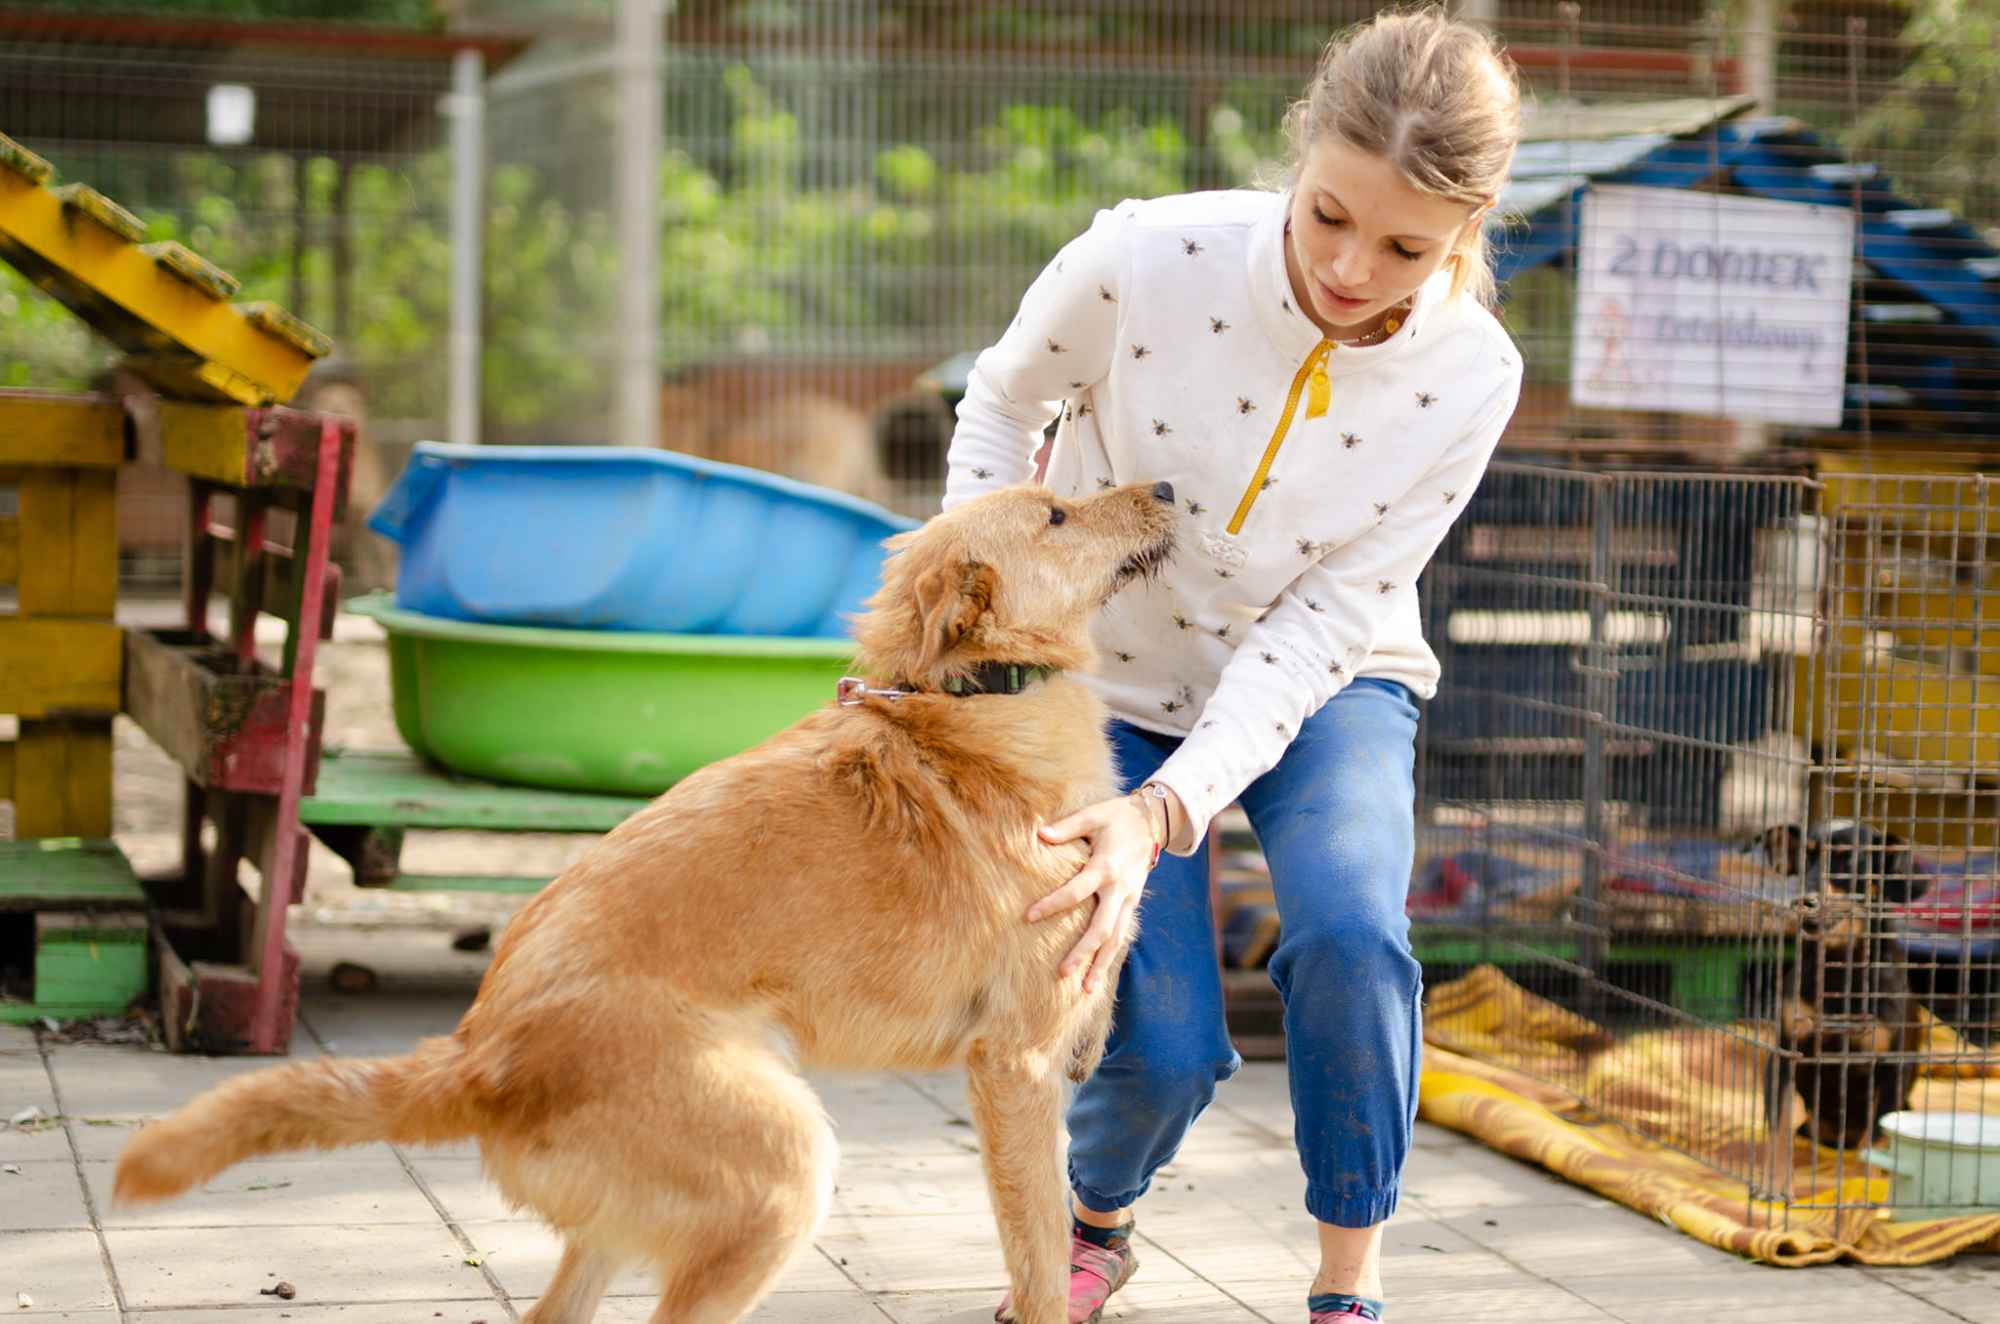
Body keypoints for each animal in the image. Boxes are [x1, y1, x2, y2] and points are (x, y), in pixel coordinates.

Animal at [113, 486, 1168, 1324]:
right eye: (1058, 514)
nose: (1163, 487)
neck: (971, 702)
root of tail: (480, 1054)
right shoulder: (1015, 1072)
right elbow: (1038, 1265)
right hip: (781, 1178)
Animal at [1760, 832, 1928, 1152]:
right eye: (1805, 859)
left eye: (1849, 860)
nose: (1803, 901)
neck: (1840, 968)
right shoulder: (1786, 1052)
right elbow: (1778, 1129)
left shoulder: (1892, 1066)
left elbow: (1874, 1139)